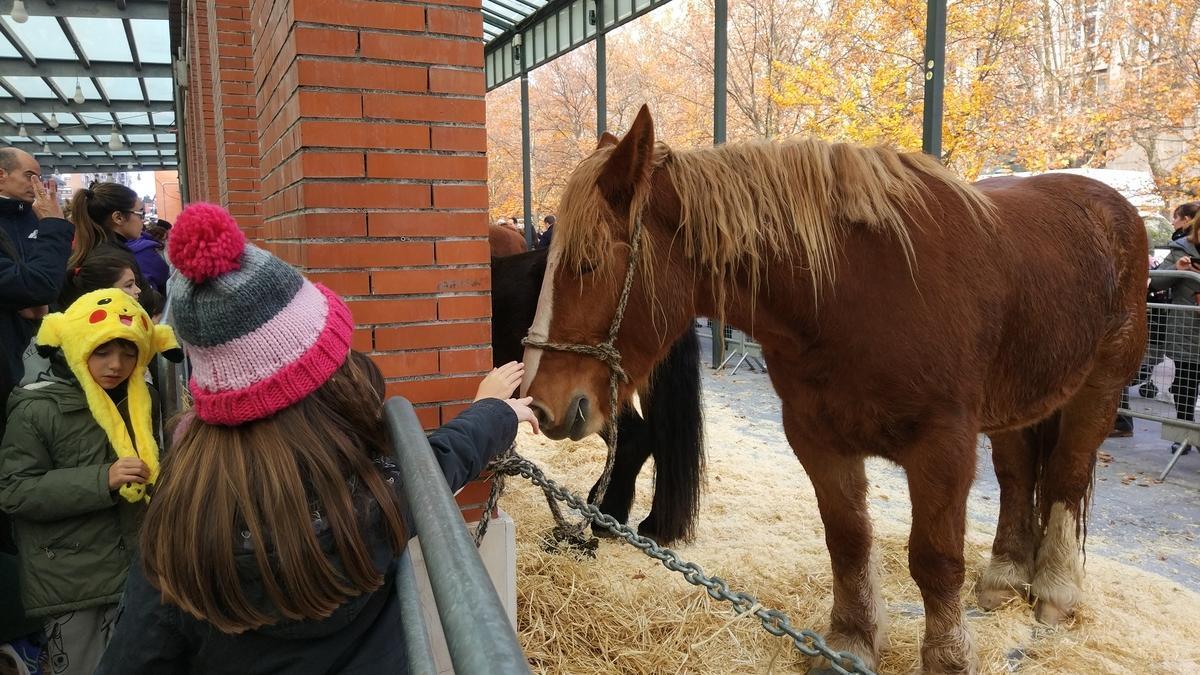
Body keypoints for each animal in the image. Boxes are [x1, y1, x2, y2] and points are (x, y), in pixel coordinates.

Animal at [520, 102, 1147, 667]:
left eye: (587, 262)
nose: (541, 404)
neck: (855, 293)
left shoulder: (943, 447)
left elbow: (936, 559)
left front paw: (946, 657)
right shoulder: (818, 438)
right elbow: (847, 540)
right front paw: (852, 640)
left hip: (1098, 388)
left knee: (1065, 475)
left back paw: (1056, 589)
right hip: (1019, 406)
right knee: (1018, 478)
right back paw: (1006, 575)